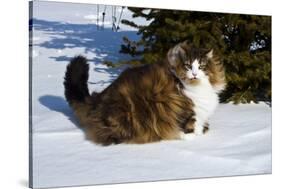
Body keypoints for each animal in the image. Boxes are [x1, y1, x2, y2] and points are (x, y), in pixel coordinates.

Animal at [64, 41, 225, 145]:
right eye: (187, 66)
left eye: (201, 66)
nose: (194, 74)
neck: (197, 88)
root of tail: (97, 99)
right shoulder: (184, 109)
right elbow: (186, 126)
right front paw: (190, 137)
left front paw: (200, 132)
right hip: (124, 114)